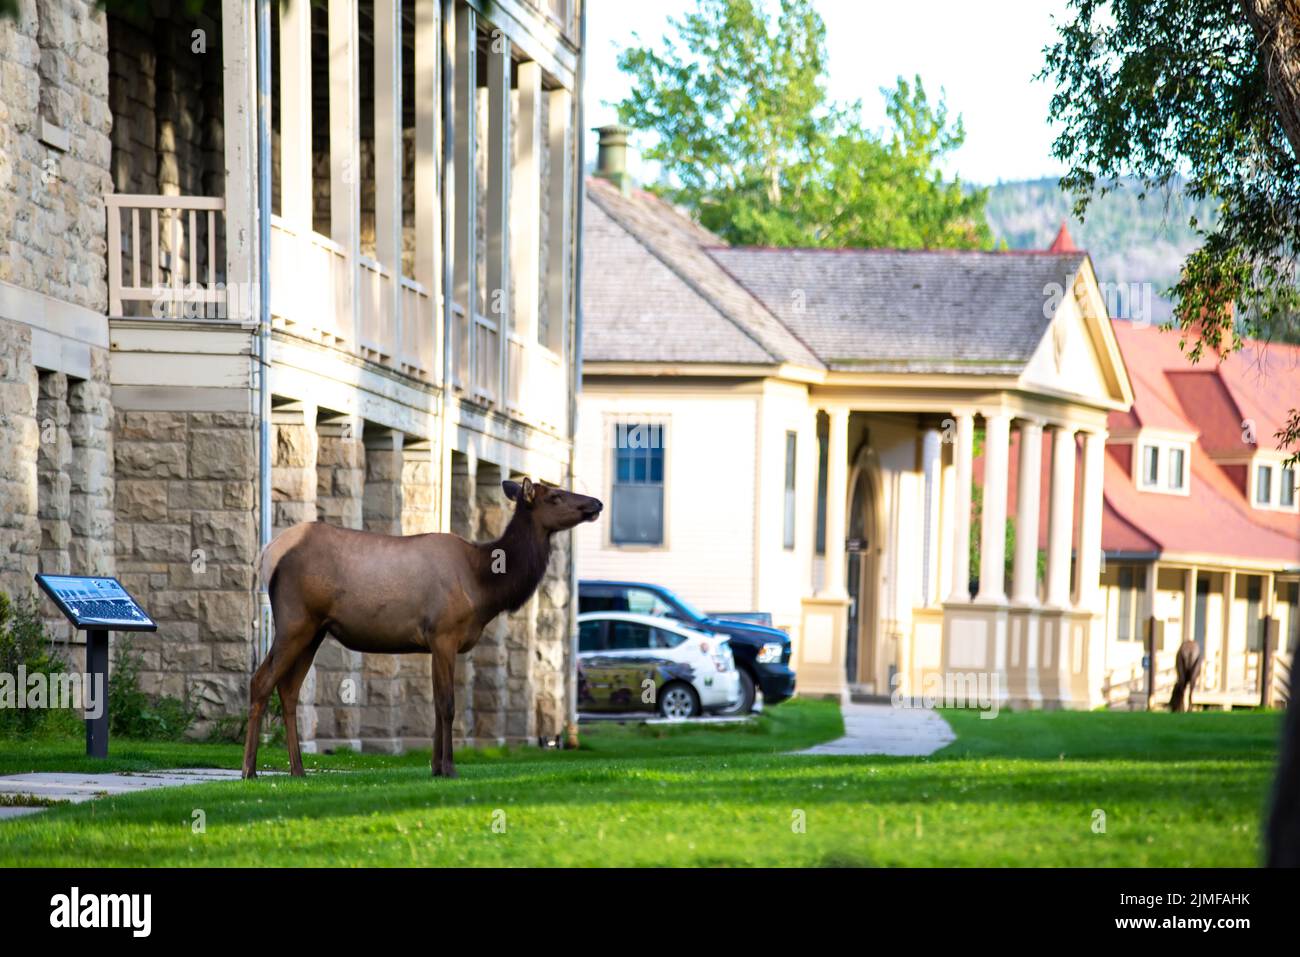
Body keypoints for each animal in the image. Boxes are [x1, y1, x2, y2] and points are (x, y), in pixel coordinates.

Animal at [244, 478, 603, 780]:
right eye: (555, 496)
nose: (596, 502)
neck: (485, 586)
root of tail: (267, 553)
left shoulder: (433, 642)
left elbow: (435, 704)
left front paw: (435, 767)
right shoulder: (444, 634)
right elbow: (447, 704)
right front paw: (450, 768)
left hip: (314, 630)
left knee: (288, 690)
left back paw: (298, 770)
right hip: (295, 620)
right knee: (260, 681)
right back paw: (250, 770)